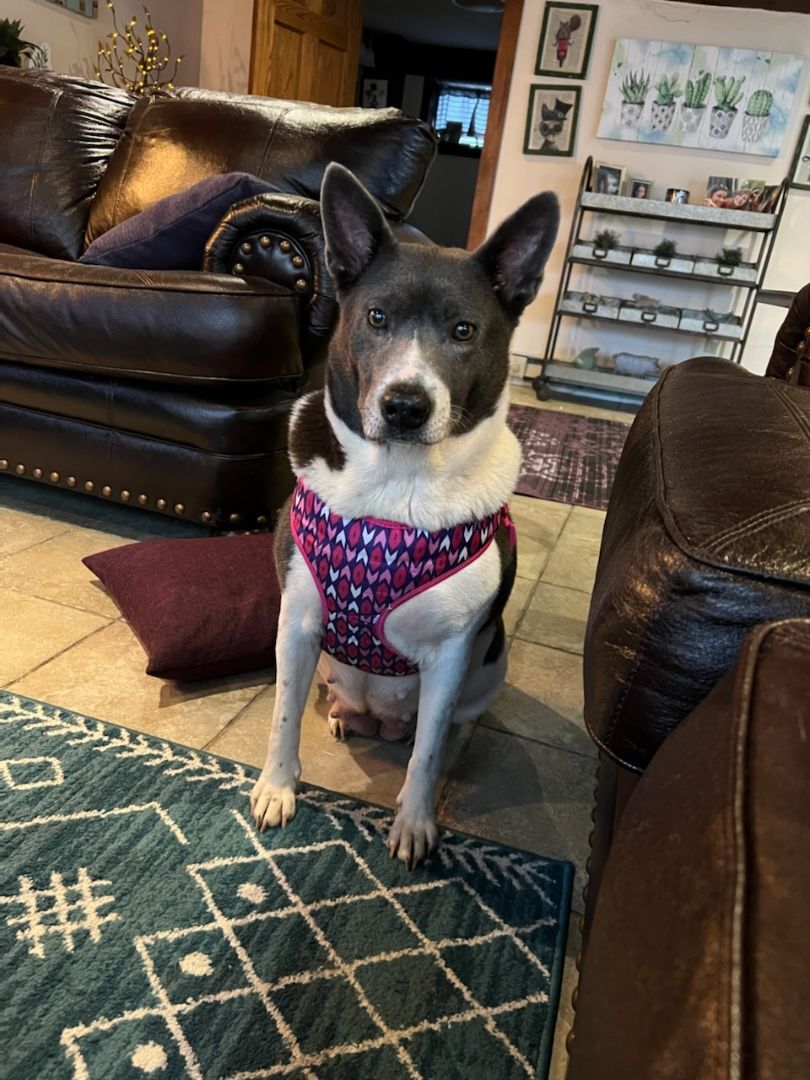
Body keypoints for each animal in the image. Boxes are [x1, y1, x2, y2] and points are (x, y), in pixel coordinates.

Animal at [252, 162, 557, 868]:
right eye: (377, 317)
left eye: (464, 331)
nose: (405, 406)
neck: (396, 490)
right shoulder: (297, 623)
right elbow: (281, 716)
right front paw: (277, 787)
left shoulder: (451, 655)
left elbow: (423, 755)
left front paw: (415, 822)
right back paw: (343, 718)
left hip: (489, 664)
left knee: (438, 733)